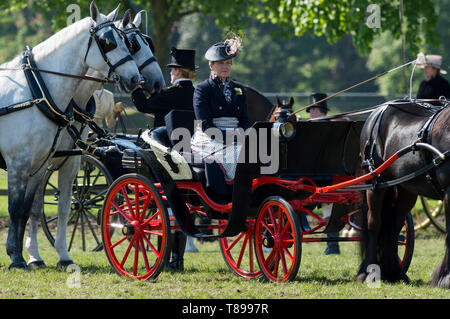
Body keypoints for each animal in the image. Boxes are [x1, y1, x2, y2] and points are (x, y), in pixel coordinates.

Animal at [0, 2, 142, 270]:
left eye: (127, 42)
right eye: (108, 42)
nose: (135, 79)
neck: (37, 91)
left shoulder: (40, 165)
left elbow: (30, 209)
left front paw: (31, 255)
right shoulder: (18, 163)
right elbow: (15, 209)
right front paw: (16, 257)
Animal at [356, 101, 448, 288]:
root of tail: (380, 109)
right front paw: (444, 278)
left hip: (407, 188)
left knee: (393, 224)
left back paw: (394, 272)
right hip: (376, 183)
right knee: (374, 223)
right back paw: (367, 272)